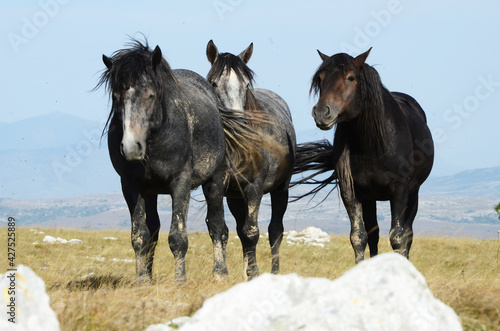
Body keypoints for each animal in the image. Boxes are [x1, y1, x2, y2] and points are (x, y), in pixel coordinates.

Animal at [97, 39, 229, 282]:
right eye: (117, 97)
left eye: (150, 95)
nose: (131, 147)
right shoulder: (131, 186)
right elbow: (140, 236)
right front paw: (142, 280)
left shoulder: (181, 183)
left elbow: (178, 237)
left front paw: (180, 280)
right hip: (150, 191)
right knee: (153, 229)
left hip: (214, 180)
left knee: (217, 227)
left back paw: (220, 272)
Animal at [294, 48, 432, 262]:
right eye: (321, 78)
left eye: (351, 77)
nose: (322, 113)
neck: (371, 146)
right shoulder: (351, 191)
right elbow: (359, 237)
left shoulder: (400, 190)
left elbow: (398, 237)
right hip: (370, 198)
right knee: (373, 234)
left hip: (413, 192)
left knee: (408, 234)